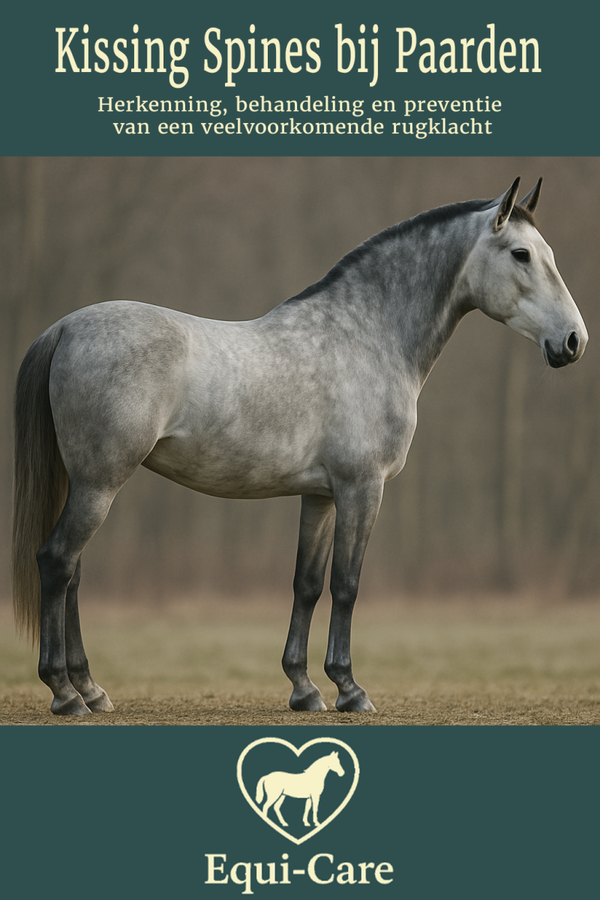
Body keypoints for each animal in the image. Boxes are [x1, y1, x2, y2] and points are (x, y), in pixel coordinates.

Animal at [12, 177, 587, 717]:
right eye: (521, 254)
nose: (574, 341)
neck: (367, 337)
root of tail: (65, 327)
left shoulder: (321, 496)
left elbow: (307, 584)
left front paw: (304, 688)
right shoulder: (362, 488)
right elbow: (347, 584)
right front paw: (350, 688)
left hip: (88, 484)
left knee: (73, 574)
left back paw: (91, 689)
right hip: (100, 484)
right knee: (57, 562)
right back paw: (65, 692)